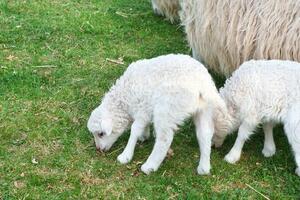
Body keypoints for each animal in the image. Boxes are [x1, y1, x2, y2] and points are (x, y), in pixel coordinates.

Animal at [85, 54, 226, 174]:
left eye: (101, 134)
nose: (99, 149)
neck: (124, 98)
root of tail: (202, 85)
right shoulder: (146, 109)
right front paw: (144, 135)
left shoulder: (142, 108)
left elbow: (134, 129)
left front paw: (126, 156)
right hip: (204, 109)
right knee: (205, 133)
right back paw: (204, 168)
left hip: (167, 108)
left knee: (165, 137)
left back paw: (149, 166)